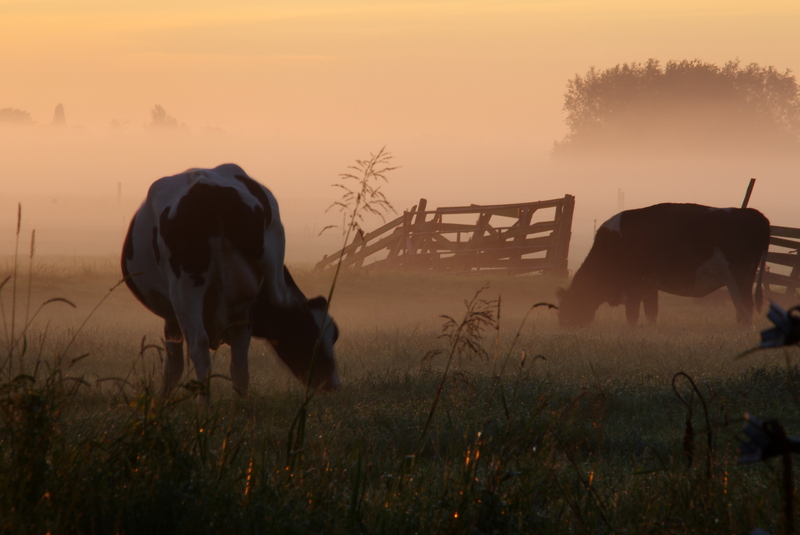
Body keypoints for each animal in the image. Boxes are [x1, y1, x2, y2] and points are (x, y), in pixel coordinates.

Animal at [121, 164, 340, 397]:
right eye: (308, 336)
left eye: (334, 336)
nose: (333, 385)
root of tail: (206, 188)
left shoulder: (174, 316)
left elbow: (173, 366)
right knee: (238, 362)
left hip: (186, 289)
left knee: (201, 346)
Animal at [557, 203, 770, 327]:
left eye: (570, 305)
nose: (565, 326)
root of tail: (753, 213)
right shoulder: (650, 286)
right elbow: (651, 314)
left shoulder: (633, 287)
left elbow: (632, 316)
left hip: (736, 277)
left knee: (745, 309)